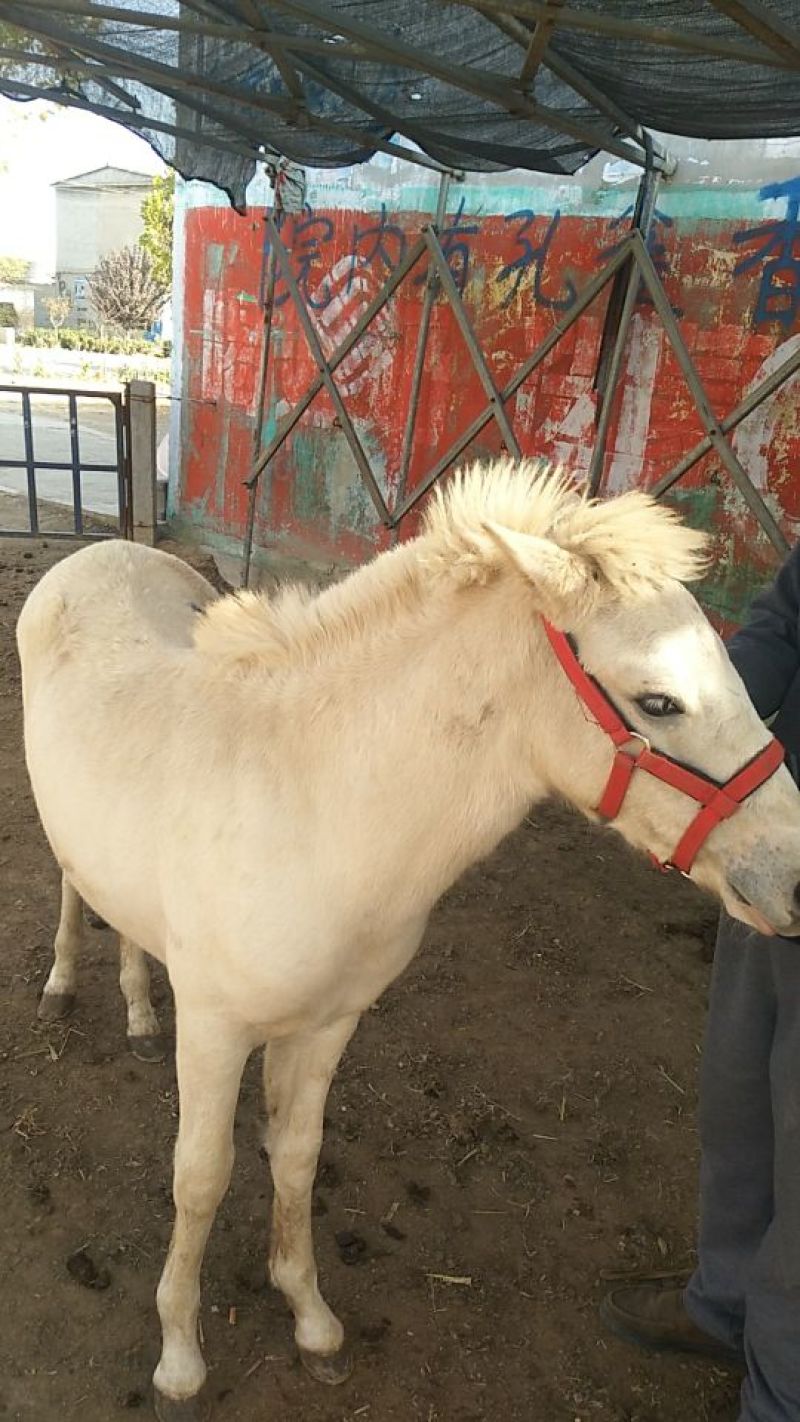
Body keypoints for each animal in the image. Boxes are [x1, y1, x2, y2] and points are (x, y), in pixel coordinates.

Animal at [17, 460, 800, 1420]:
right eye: (660, 702)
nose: (794, 878)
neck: (312, 806)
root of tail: (101, 551)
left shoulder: (329, 1025)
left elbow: (295, 1159)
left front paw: (311, 1321)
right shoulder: (215, 1030)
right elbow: (200, 1177)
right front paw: (179, 1359)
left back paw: (134, 1013)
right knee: (68, 884)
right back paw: (61, 987)